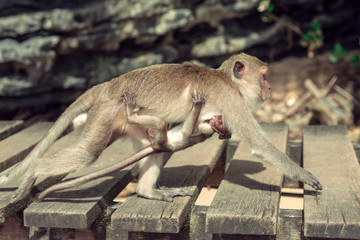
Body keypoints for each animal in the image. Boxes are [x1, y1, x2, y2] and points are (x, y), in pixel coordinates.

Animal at [35, 93, 228, 201]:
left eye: (220, 121)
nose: (218, 118)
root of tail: (158, 145)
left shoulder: (204, 129)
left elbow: (188, 132)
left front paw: (197, 106)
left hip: (160, 140)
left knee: (159, 126)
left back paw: (132, 114)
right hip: (155, 141)